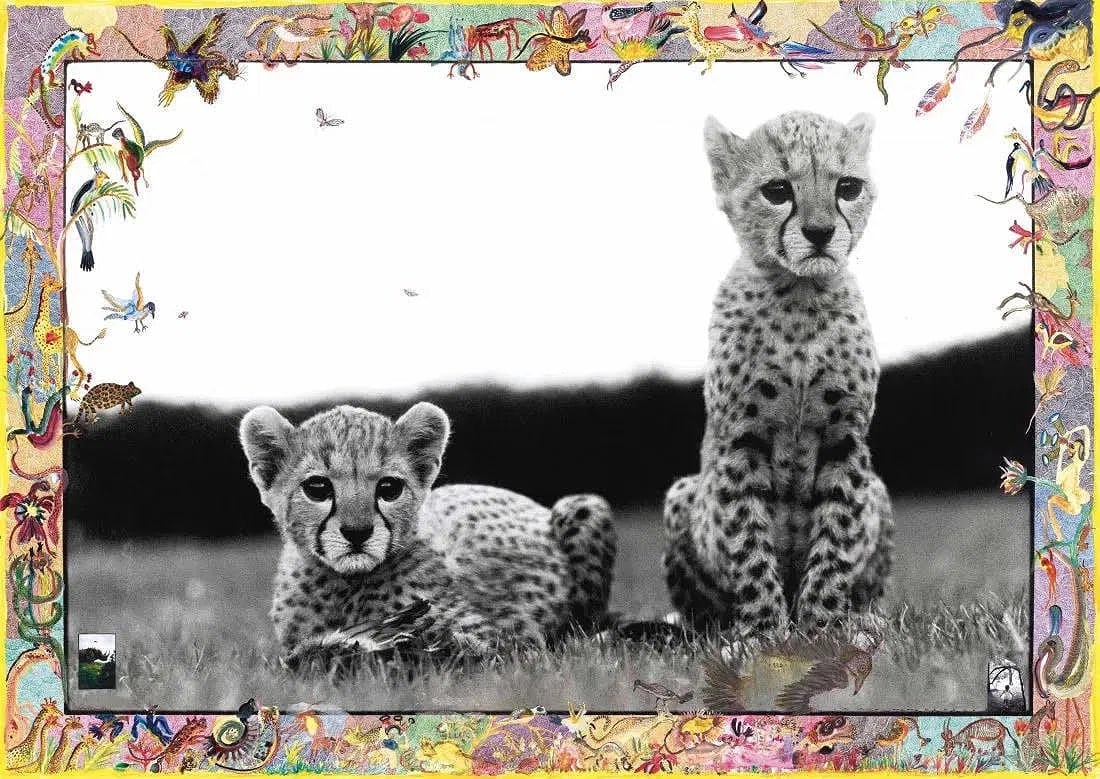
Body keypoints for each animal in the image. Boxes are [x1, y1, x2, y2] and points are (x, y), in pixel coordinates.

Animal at [239, 400, 617, 662]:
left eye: (389, 488)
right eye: (317, 488)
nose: (357, 532)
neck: (344, 585)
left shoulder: (510, 642)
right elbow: (301, 655)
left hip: (583, 506)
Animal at [662, 110, 893, 638]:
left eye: (847, 187)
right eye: (776, 190)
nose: (820, 231)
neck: (799, 296)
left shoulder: (846, 440)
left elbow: (836, 537)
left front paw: (822, 628)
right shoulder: (740, 441)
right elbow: (747, 541)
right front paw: (764, 632)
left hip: (879, 491)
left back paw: (866, 618)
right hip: (682, 493)